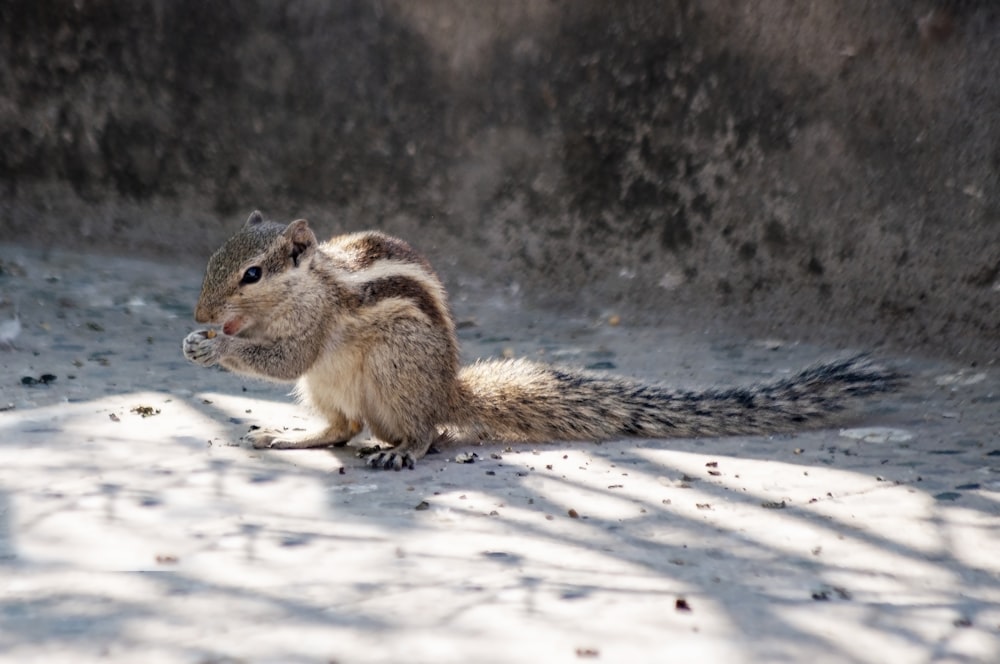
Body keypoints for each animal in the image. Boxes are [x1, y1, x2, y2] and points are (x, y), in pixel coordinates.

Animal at [182, 210, 908, 470]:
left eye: (251, 274)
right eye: (214, 257)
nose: (200, 309)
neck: (308, 285)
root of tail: (449, 390)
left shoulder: (315, 328)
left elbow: (285, 357)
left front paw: (215, 348)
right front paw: (200, 338)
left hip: (396, 375)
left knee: (425, 432)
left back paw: (405, 449)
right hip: (332, 392)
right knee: (341, 427)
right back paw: (296, 438)